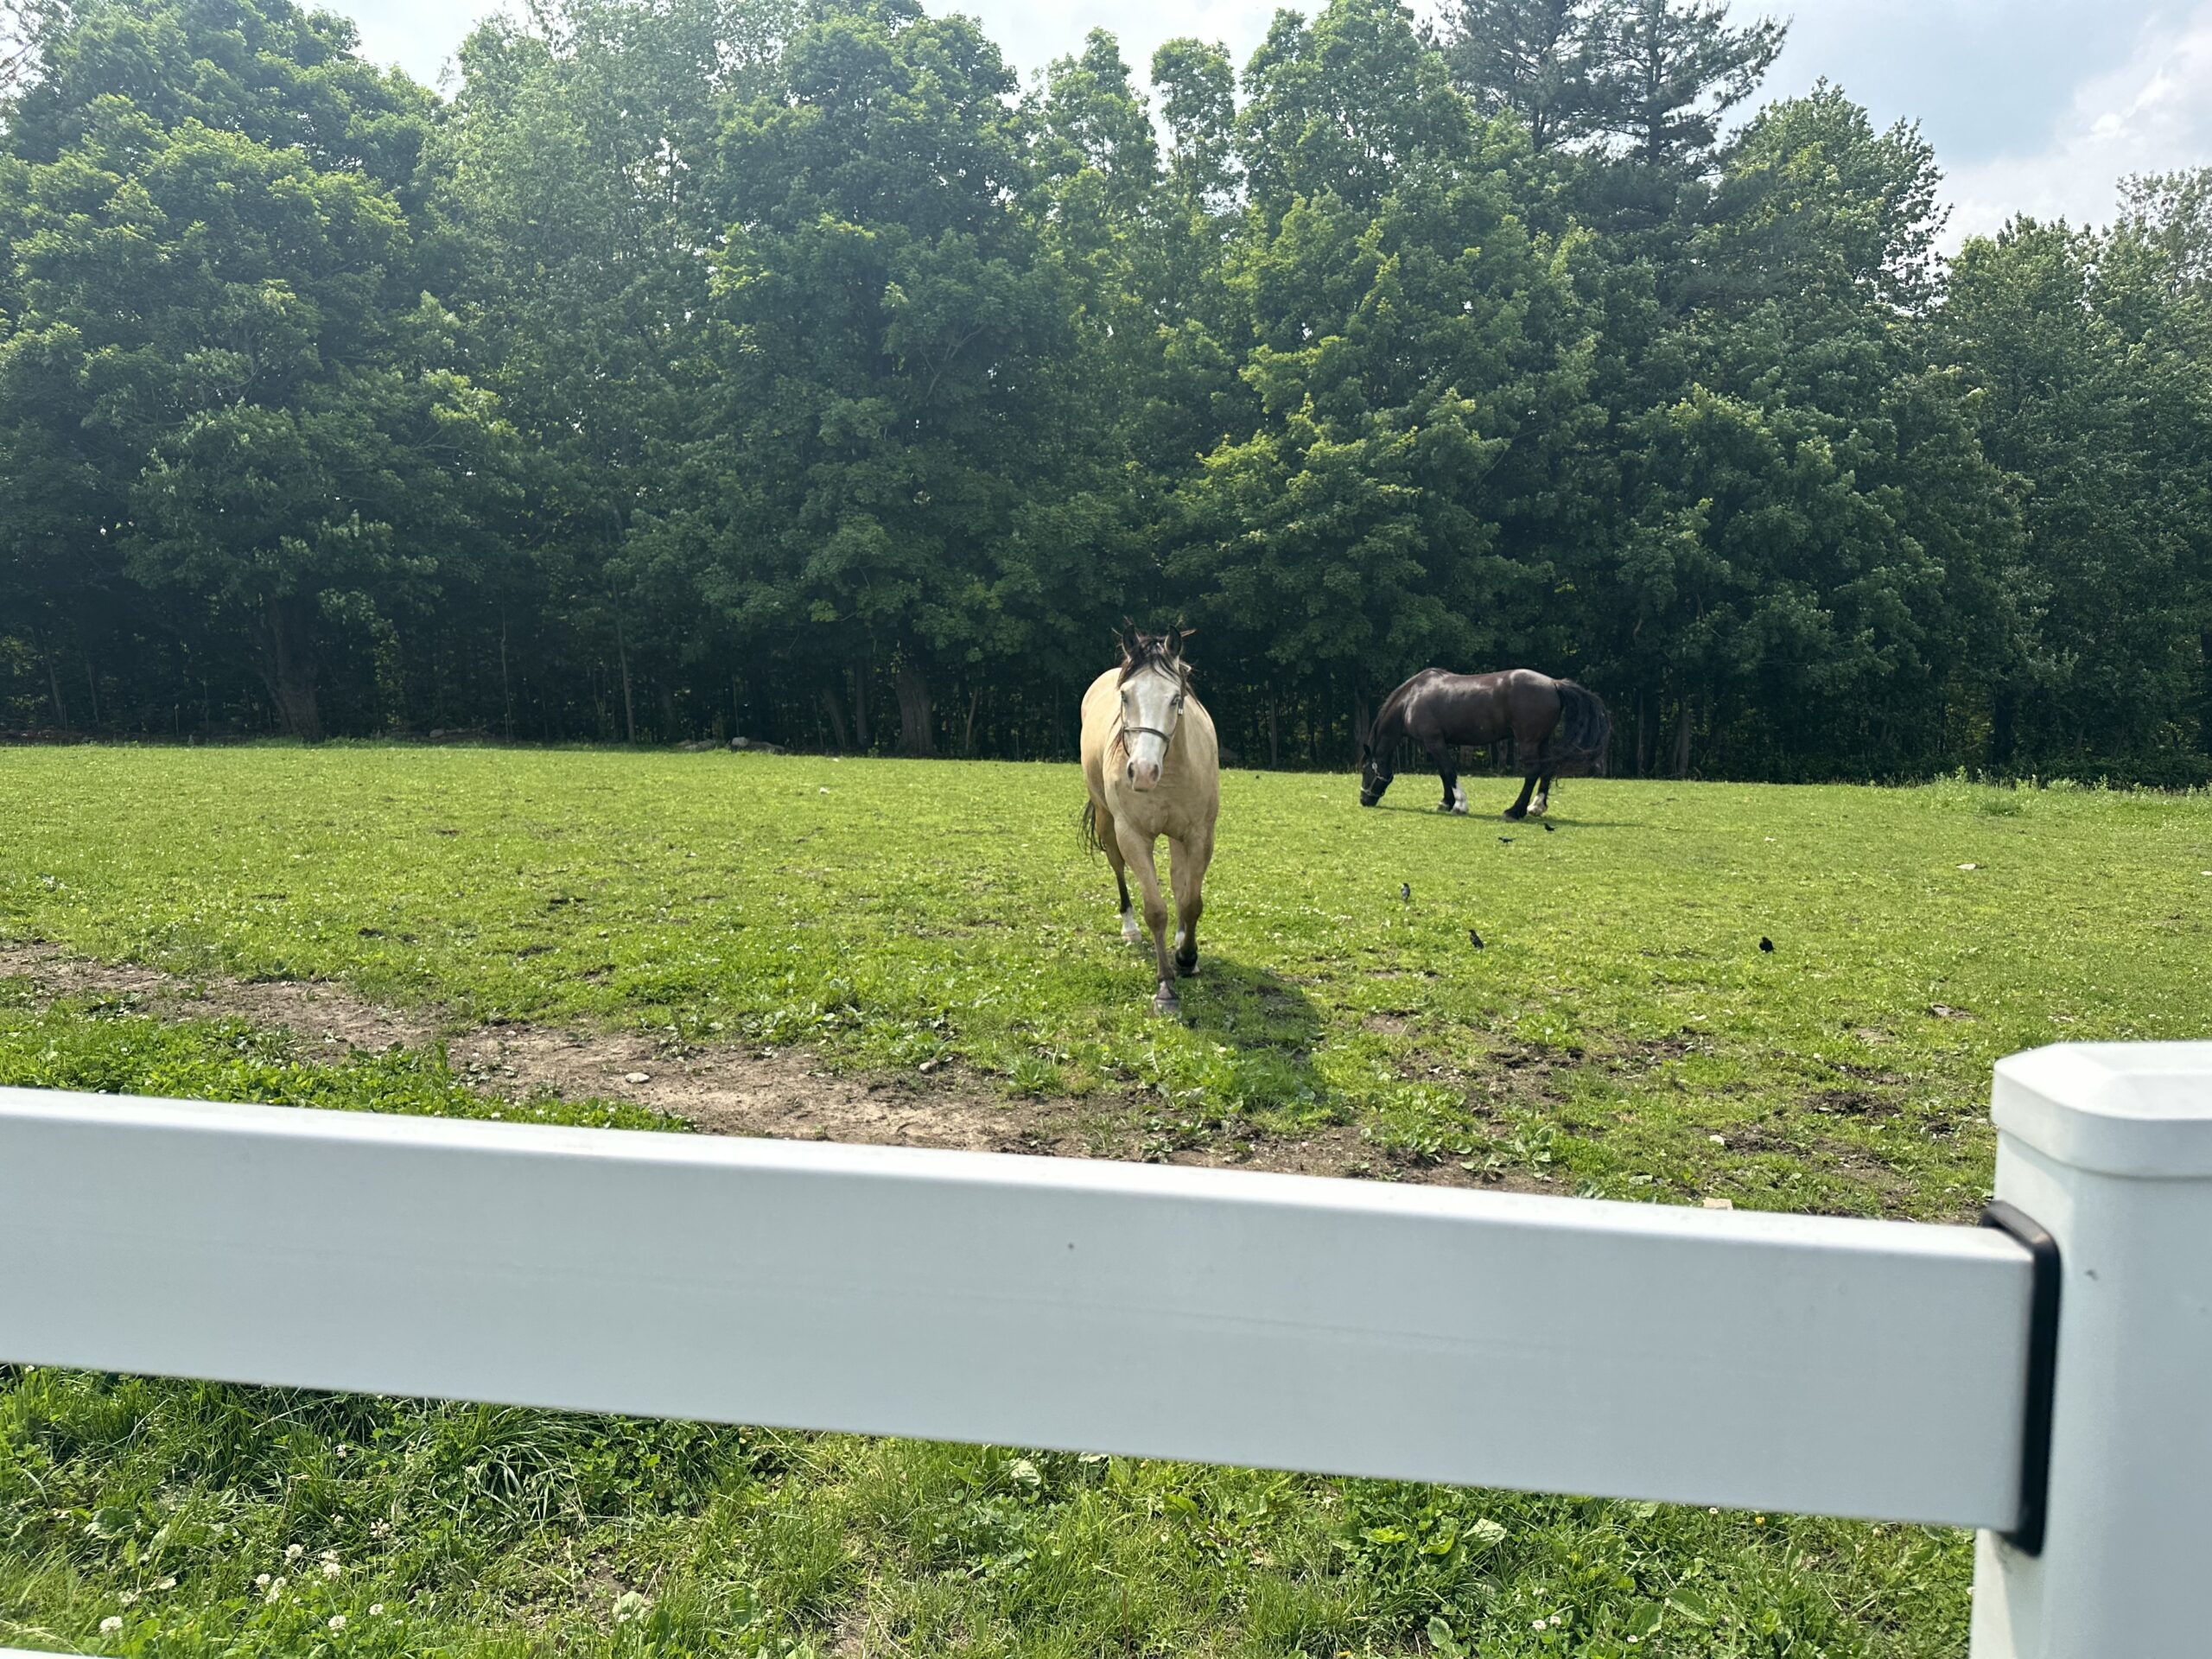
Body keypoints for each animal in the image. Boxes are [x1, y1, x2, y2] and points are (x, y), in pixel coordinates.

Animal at [1080, 630, 1220, 1015]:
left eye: (1176, 698)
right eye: (1125, 695)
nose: (1142, 772)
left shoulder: (1199, 835)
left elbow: (1190, 900)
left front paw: (1187, 956)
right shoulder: (1133, 836)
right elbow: (1156, 910)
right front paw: (1166, 988)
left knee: (1178, 882)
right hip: (1107, 822)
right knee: (1117, 868)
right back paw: (1129, 928)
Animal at [1359, 668, 1611, 819]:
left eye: (1365, 770)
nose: (1364, 800)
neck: (1412, 699)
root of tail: (1554, 684)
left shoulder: (1434, 741)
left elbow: (1449, 771)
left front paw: (1459, 805)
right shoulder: (1436, 743)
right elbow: (1443, 773)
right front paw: (1446, 802)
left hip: (1528, 741)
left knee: (1532, 771)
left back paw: (1514, 811)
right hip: (1542, 740)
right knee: (1547, 769)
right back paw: (1536, 807)